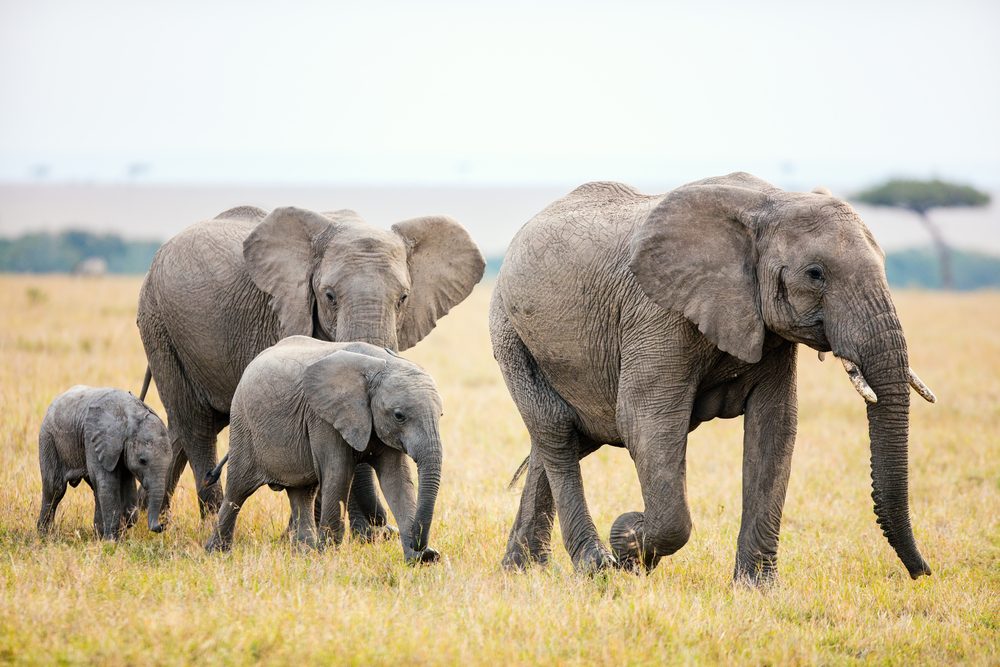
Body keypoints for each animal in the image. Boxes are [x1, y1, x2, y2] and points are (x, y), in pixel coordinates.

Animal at [37, 388, 170, 540]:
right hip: (48, 438)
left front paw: (122, 529)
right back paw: (44, 536)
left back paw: (98, 535)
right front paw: (112, 540)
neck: (131, 415)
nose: (163, 525)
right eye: (142, 460)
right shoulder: (94, 439)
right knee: (55, 488)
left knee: (94, 488)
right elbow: (108, 484)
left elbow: (127, 486)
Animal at [205, 336, 444, 560]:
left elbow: (397, 479)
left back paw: (304, 553)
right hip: (243, 425)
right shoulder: (323, 418)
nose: (419, 544)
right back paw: (217, 552)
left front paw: (422, 560)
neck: (380, 365)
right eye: (399, 416)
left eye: (441, 415)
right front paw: (328, 557)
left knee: (302, 493)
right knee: (238, 490)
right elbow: (338, 473)